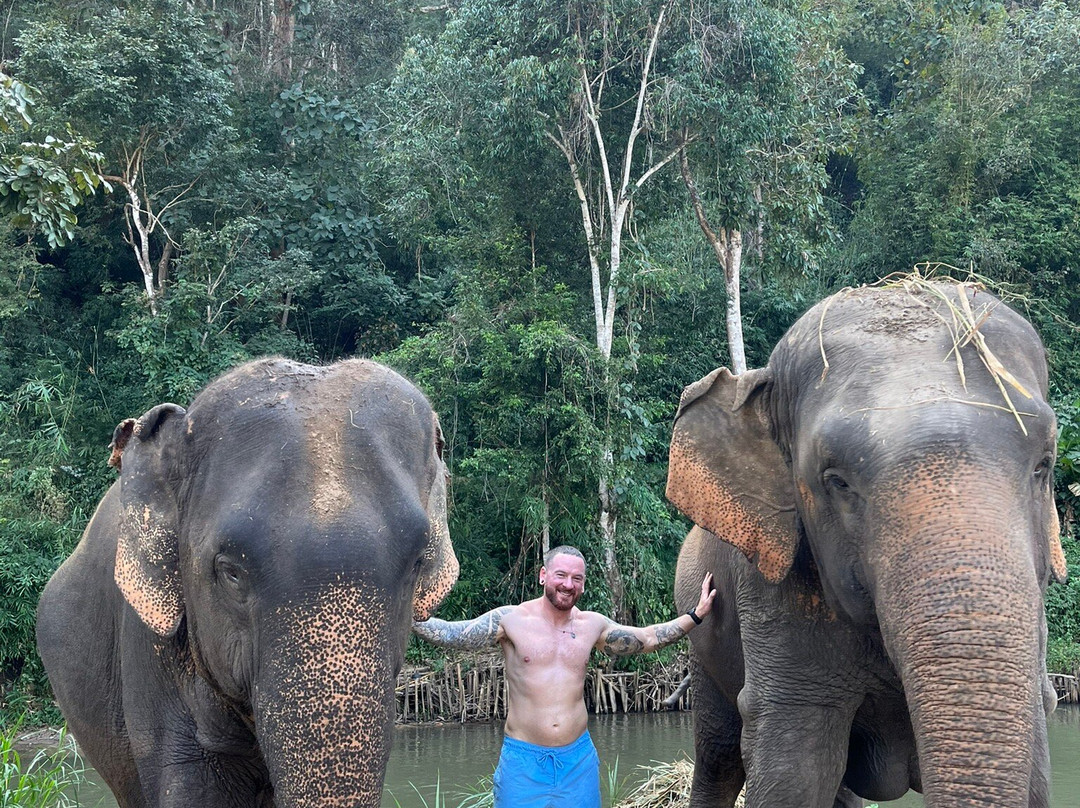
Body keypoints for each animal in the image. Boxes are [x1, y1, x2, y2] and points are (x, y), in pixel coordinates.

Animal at [667, 281, 1067, 808]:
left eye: (1044, 464)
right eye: (836, 480)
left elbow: (1038, 753)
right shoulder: (773, 588)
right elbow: (793, 763)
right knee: (719, 756)